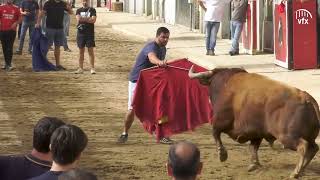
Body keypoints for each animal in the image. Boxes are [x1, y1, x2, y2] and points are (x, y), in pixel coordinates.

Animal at [189, 66, 318, 179]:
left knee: (303, 146)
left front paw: (222, 154)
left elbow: (215, 133)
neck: (225, 84)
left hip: (287, 136)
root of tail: (306, 97)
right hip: (309, 137)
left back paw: (295, 172)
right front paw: (254, 164)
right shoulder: (256, 132)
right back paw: (302, 170)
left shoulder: (220, 121)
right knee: (314, 148)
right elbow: (253, 147)